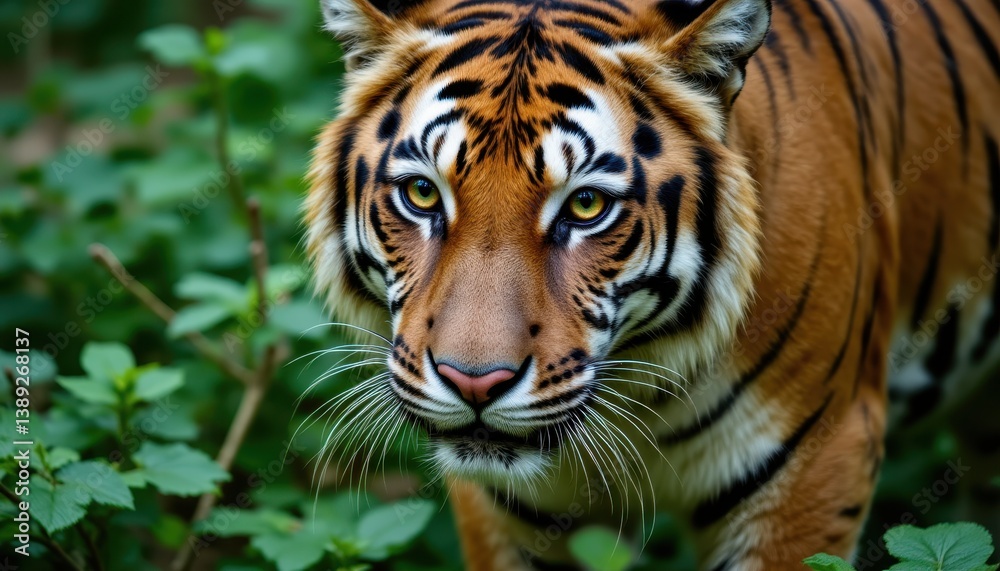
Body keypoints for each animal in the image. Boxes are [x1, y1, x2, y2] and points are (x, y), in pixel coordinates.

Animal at [304, 0, 1000, 568]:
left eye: (586, 206)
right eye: (423, 193)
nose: (475, 382)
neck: (640, 384)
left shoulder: (811, 468)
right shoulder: (508, 506)